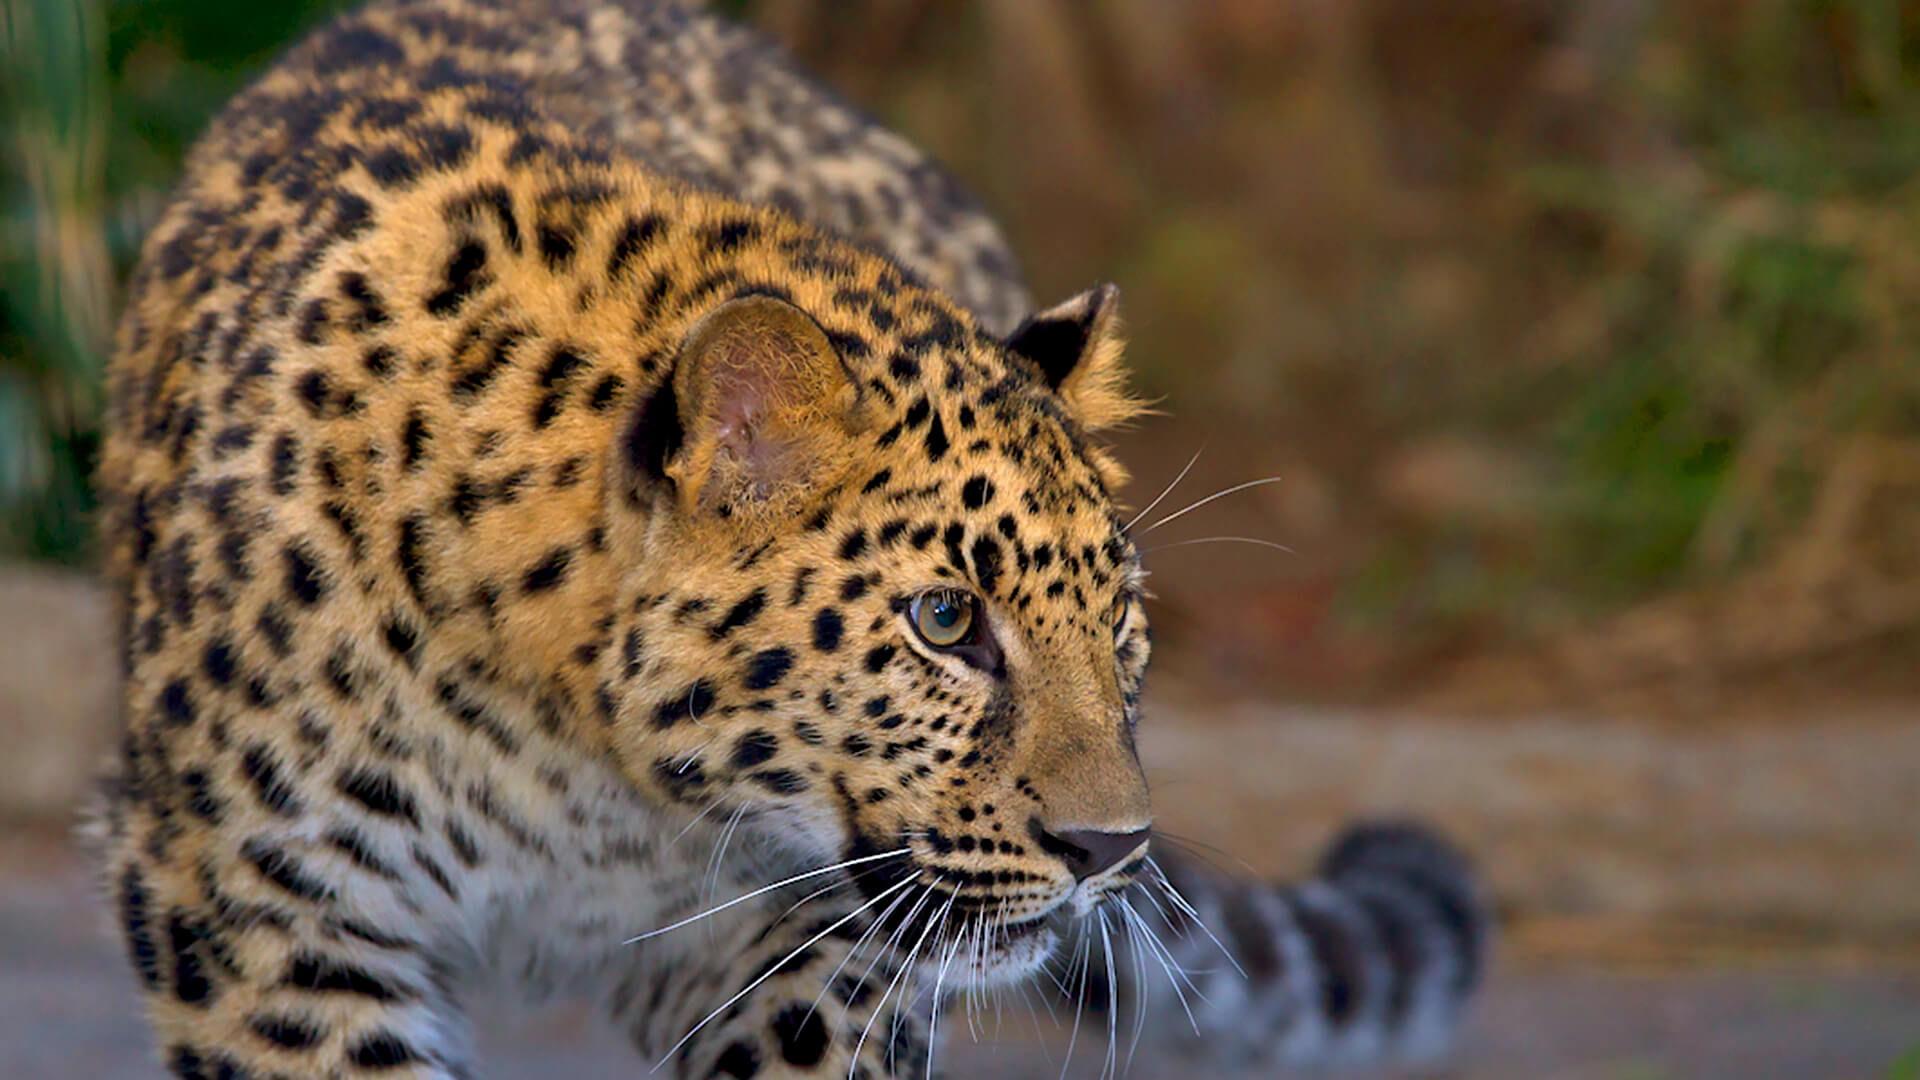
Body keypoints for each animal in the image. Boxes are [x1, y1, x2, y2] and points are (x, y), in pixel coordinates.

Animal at [94, 0, 1490, 1076]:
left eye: (1121, 624)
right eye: (946, 621)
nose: (1113, 852)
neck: (583, 767)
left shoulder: (812, 947)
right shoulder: (268, 912)